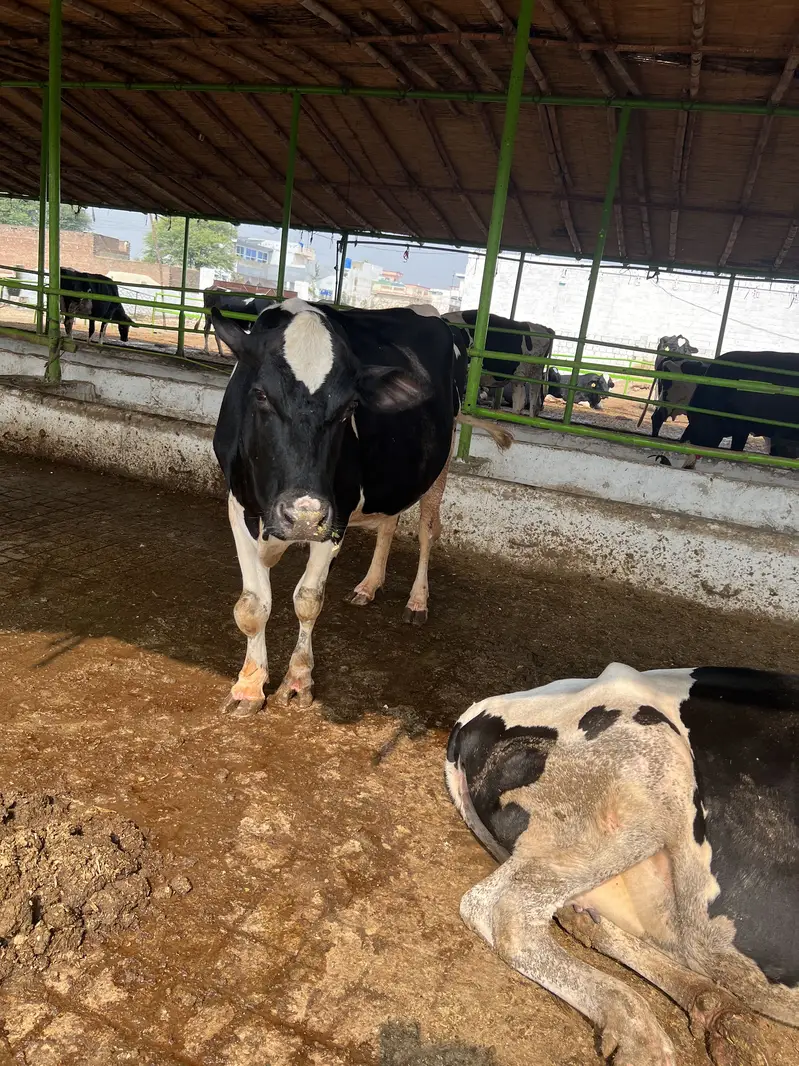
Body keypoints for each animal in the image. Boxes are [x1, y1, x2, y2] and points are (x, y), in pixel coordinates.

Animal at [212, 298, 511, 713]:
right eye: (259, 394)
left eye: (350, 407)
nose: (303, 516)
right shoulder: (239, 506)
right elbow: (252, 606)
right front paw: (249, 687)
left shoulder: (334, 515)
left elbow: (307, 600)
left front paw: (298, 681)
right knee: (388, 523)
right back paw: (369, 585)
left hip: (440, 463)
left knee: (426, 532)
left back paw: (417, 601)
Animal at [446, 662, 798, 1066]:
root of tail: (476, 714)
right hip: (645, 769)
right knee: (504, 910)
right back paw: (640, 1033)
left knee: (588, 922)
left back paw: (718, 1010)